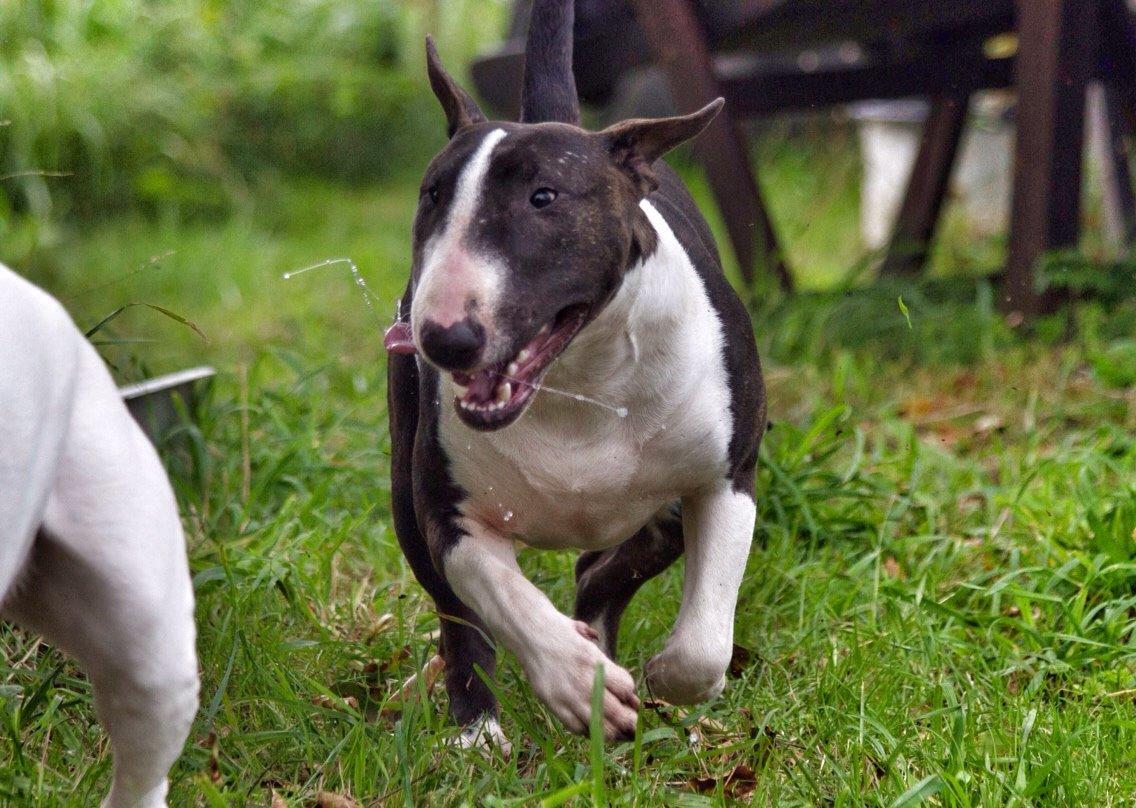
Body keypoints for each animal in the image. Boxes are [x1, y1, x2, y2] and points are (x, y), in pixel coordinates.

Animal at [386, 0, 767, 750]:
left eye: (544, 196)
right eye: (432, 195)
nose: (442, 340)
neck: (582, 382)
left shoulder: (728, 478)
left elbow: (702, 645)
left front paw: (660, 676)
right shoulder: (447, 512)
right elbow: (501, 598)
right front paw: (574, 679)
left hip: (663, 511)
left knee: (608, 570)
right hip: (405, 497)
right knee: (458, 619)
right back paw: (479, 731)